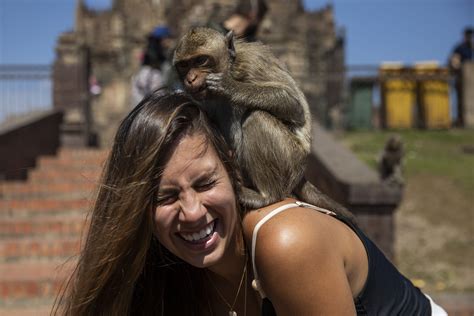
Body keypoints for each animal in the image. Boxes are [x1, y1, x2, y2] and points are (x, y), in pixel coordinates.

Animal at [172, 26, 350, 220]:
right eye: (184, 65)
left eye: (201, 60)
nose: (190, 78)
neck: (231, 67)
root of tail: (301, 173)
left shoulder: (253, 62)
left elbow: (294, 106)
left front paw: (231, 87)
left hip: (290, 160)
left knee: (257, 117)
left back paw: (267, 195)